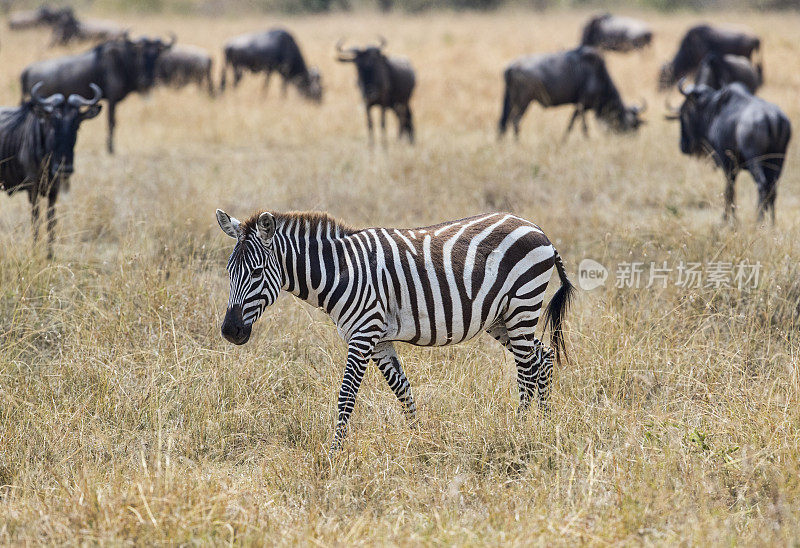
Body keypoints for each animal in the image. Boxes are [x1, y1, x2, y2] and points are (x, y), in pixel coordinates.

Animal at [214, 208, 576, 452]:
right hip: (501, 318)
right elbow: (403, 391)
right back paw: (544, 423)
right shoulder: (379, 341)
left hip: (521, 305)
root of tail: (535, 227)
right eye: (229, 271)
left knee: (527, 368)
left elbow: (346, 396)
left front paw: (334, 455)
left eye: (257, 272)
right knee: (542, 357)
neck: (340, 271)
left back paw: (522, 430)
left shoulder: (363, 335)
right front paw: (419, 440)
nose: (230, 331)